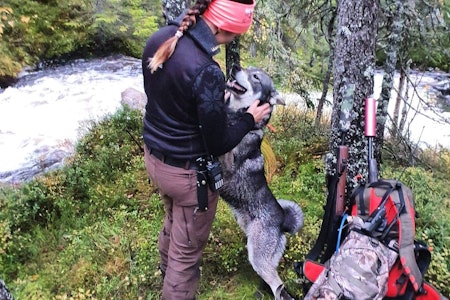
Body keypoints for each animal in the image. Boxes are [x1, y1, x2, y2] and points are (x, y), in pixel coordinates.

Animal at [220, 66, 304, 300]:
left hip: (258, 257)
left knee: (279, 288)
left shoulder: (227, 163)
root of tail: (283, 220)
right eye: (248, 70)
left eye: (256, 77)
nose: (235, 67)